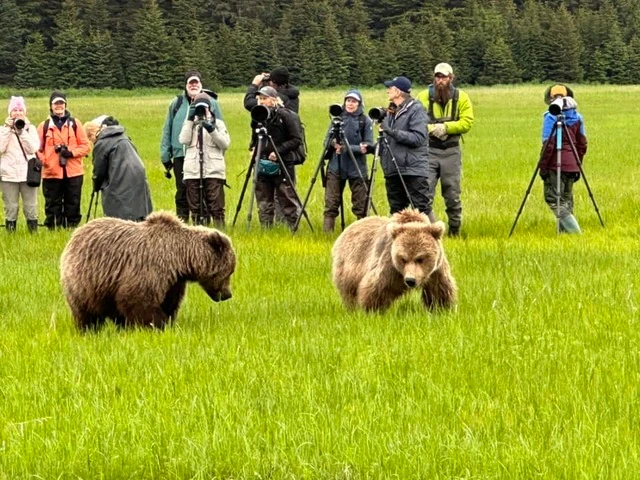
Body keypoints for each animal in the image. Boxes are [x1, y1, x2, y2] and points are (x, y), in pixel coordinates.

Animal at [60, 211, 236, 331]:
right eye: (229, 272)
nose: (227, 294)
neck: (181, 259)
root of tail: (74, 235)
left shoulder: (174, 281)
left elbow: (170, 302)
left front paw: (168, 321)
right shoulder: (151, 267)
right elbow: (138, 299)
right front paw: (157, 324)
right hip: (85, 279)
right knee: (85, 312)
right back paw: (88, 329)